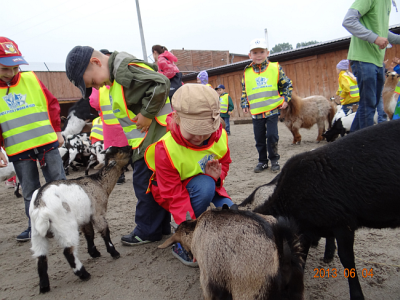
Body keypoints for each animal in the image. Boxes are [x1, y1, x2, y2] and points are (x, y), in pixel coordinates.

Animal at [30, 146, 133, 294]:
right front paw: (114, 252)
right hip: (66, 227)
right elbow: (105, 232)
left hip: (36, 233)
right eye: (120, 152)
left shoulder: (85, 217)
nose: (131, 147)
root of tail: (40, 205)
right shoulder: (98, 213)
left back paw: (44, 287)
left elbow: (89, 234)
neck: (99, 183)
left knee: (41, 257)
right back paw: (83, 274)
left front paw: (94, 252)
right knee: (68, 252)